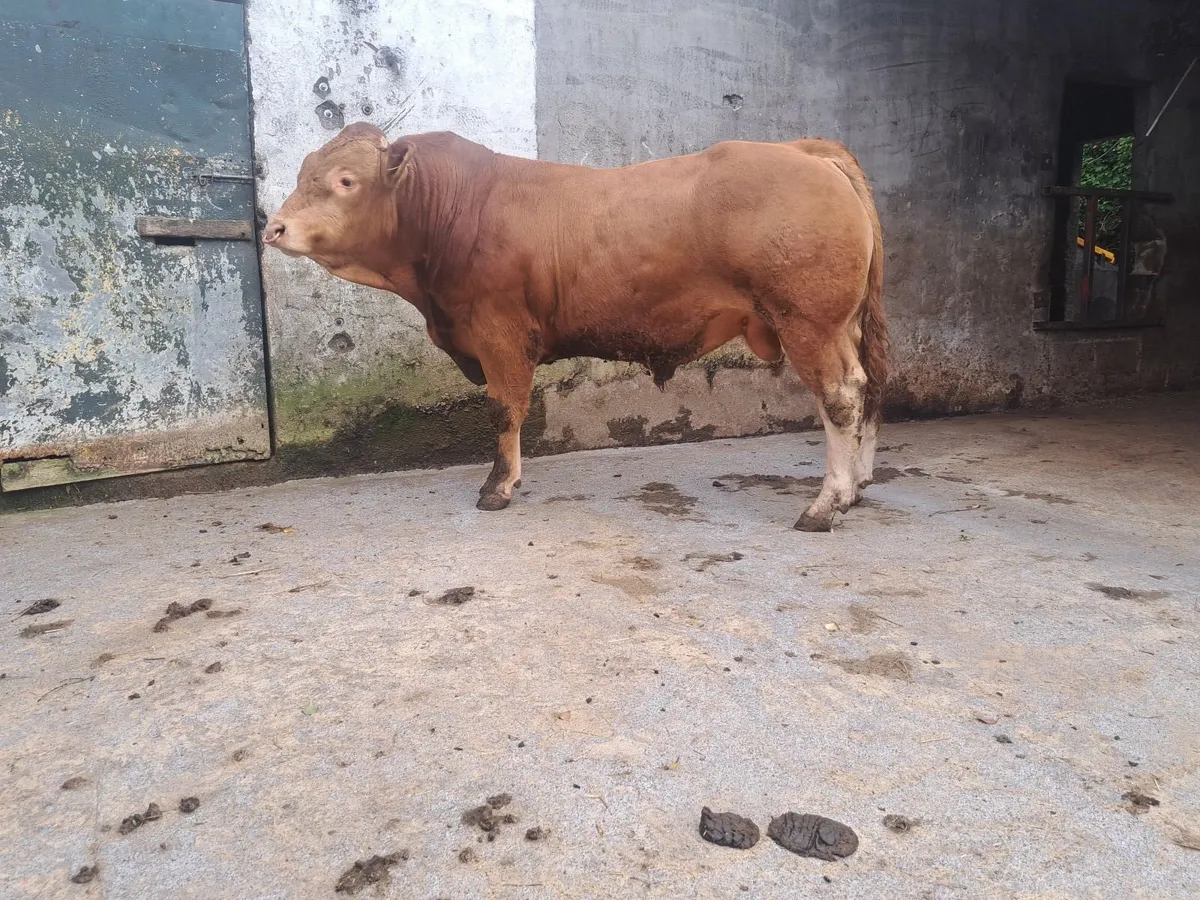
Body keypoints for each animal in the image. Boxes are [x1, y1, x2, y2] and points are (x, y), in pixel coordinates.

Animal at [264, 123, 888, 531]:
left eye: (345, 181)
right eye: (303, 173)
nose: (275, 228)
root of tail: (802, 149)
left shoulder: (500, 333)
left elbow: (505, 410)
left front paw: (498, 487)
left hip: (809, 321)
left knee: (842, 396)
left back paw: (826, 504)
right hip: (843, 324)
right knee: (869, 388)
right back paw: (857, 486)